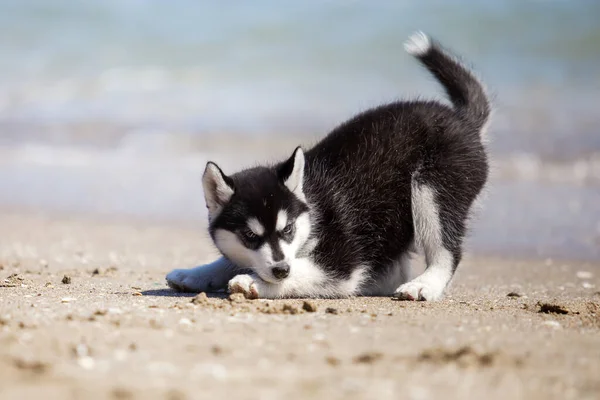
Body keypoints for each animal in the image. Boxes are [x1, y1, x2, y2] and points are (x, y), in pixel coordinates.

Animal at [163, 31, 488, 300]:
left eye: (288, 229)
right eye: (250, 236)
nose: (281, 270)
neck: (313, 210)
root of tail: (464, 121)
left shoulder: (342, 263)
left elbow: (309, 272)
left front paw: (253, 281)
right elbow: (231, 259)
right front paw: (197, 273)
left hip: (431, 187)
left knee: (446, 249)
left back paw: (425, 284)